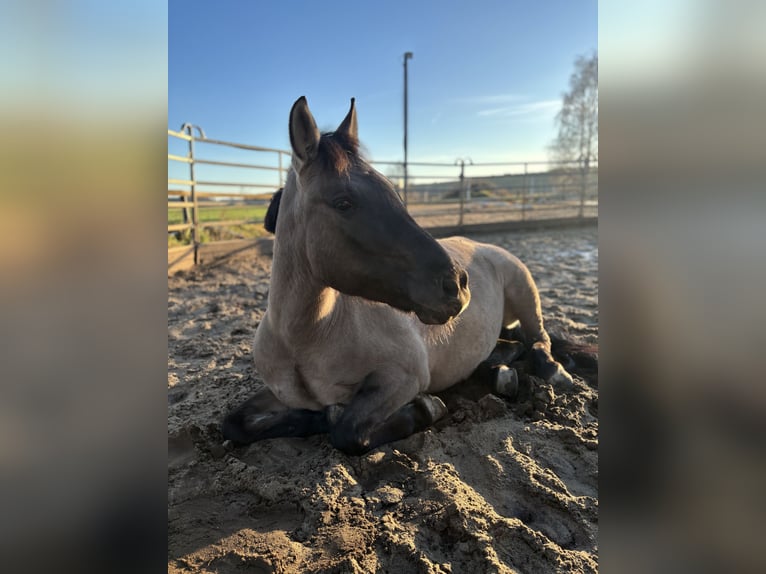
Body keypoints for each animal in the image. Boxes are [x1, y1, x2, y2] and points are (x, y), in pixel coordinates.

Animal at [222, 100, 576, 460]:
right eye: (343, 202)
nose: (457, 285)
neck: (307, 337)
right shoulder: (277, 394)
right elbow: (235, 424)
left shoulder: (403, 377)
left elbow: (347, 432)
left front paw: (425, 408)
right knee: (509, 346)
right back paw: (501, 374)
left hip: (526, 294)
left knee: (538, 340)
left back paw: (551, 372)